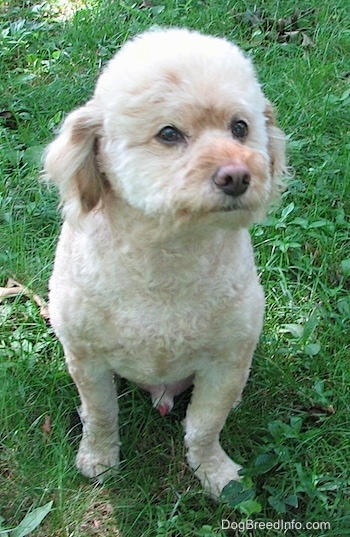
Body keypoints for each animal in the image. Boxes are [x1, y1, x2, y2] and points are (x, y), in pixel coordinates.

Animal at [43, 28, 286, 498]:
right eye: (169, 134)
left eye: (240, 128)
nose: (236, 175)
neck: (167, 254)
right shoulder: (86, 360)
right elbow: (100, 415)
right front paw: (98, 459)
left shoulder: (225, 362)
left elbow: (204, 427)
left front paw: (214, 472)